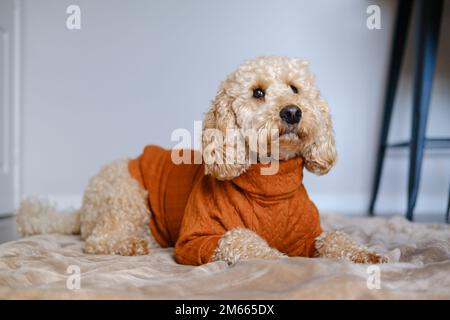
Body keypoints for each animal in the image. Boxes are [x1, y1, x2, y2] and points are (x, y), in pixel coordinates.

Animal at [17, 55, 388, 264]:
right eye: (258, 92)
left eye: (295, 89)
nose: (293, 112)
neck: (271, 182)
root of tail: (83, 206)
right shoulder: (198, 239)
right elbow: (241, 239)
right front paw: (277, 258)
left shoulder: (310, 236)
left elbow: (335, 238)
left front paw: (365, 253)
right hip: (127, 199)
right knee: (98, 239)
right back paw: (129, 245)